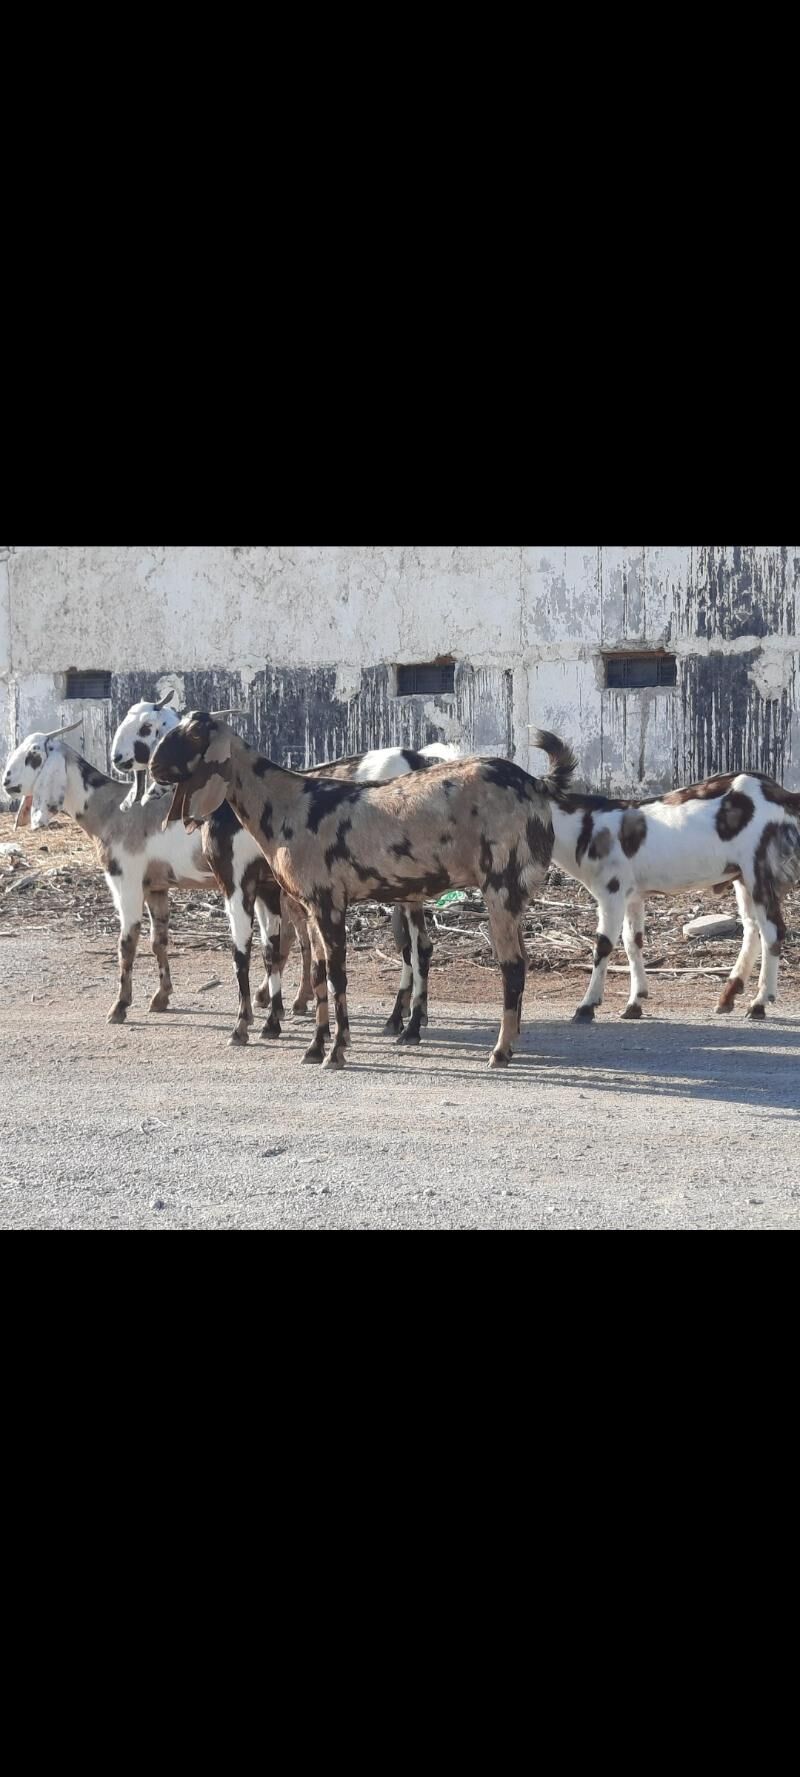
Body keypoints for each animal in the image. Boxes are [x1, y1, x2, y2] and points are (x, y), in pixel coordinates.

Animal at [0, 725, 218, 1030]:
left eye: (33, 756)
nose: (7, 782)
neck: (112, 808)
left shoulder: (126, 880)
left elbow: (126, 943)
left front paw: (119, 1007)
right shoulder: (156, 886)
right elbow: (158, 941)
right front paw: (161, 998)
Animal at [114, 693, 462, 1044]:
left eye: (148, 727)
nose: (120, 759)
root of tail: (417, 758)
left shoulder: (235, 880)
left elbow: (243, 951)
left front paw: (243, 1025)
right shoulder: (268, 886)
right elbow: (271, 949)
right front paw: (272, 1018)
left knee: (418, 947)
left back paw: (410, 1023)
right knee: (411, 947)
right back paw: (402, 1019)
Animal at [150, 710, 572, 1066]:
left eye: (191, 735)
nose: (153, 766)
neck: (288, 803)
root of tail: (536, 783)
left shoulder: (315, 901)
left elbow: (331, 975)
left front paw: (334, 1050)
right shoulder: (309, 905)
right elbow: (317, 972)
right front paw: (314, 1046)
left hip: (500, 887)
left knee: (510, 966)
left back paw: (498, 1051)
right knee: (506, 958)